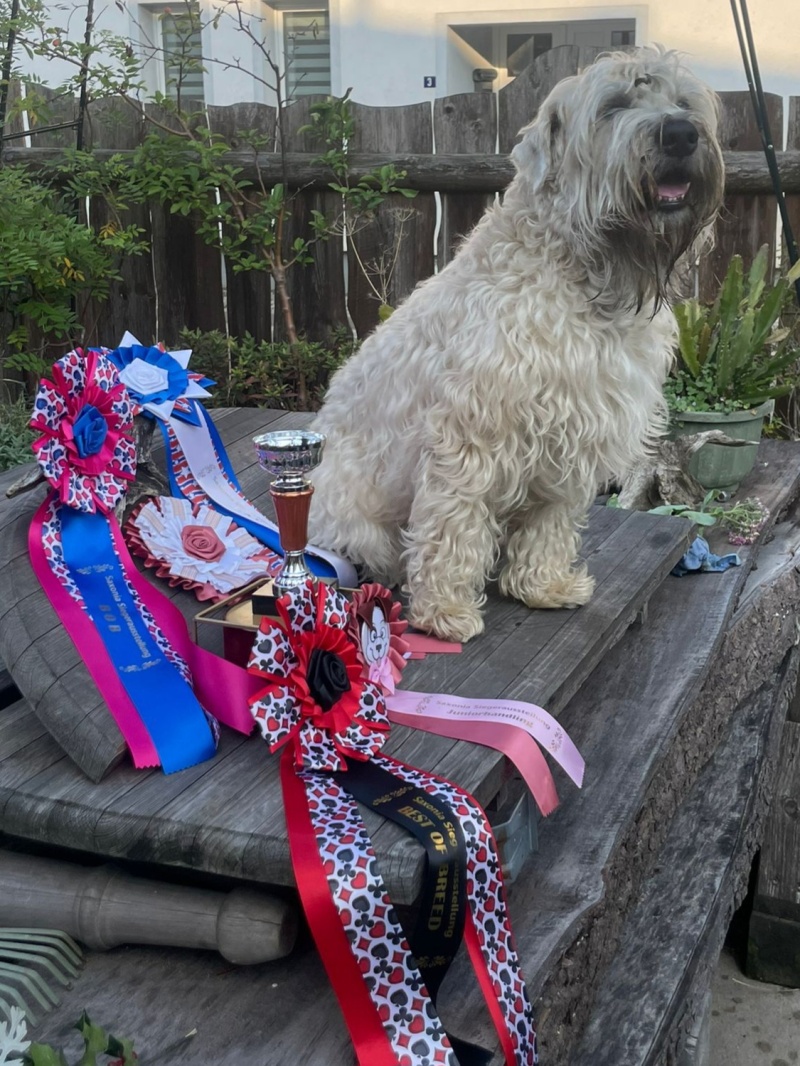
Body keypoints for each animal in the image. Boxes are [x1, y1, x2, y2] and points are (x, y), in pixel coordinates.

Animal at [308, 46, 725, 643]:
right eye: (613, 106)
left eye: (684, 103)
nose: (681, 134)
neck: (584, 273)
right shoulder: (470, 435)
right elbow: (452, 525)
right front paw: (445, 612)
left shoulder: (573, 431)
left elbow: (550, 522)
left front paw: (543, 585)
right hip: (349, 507)